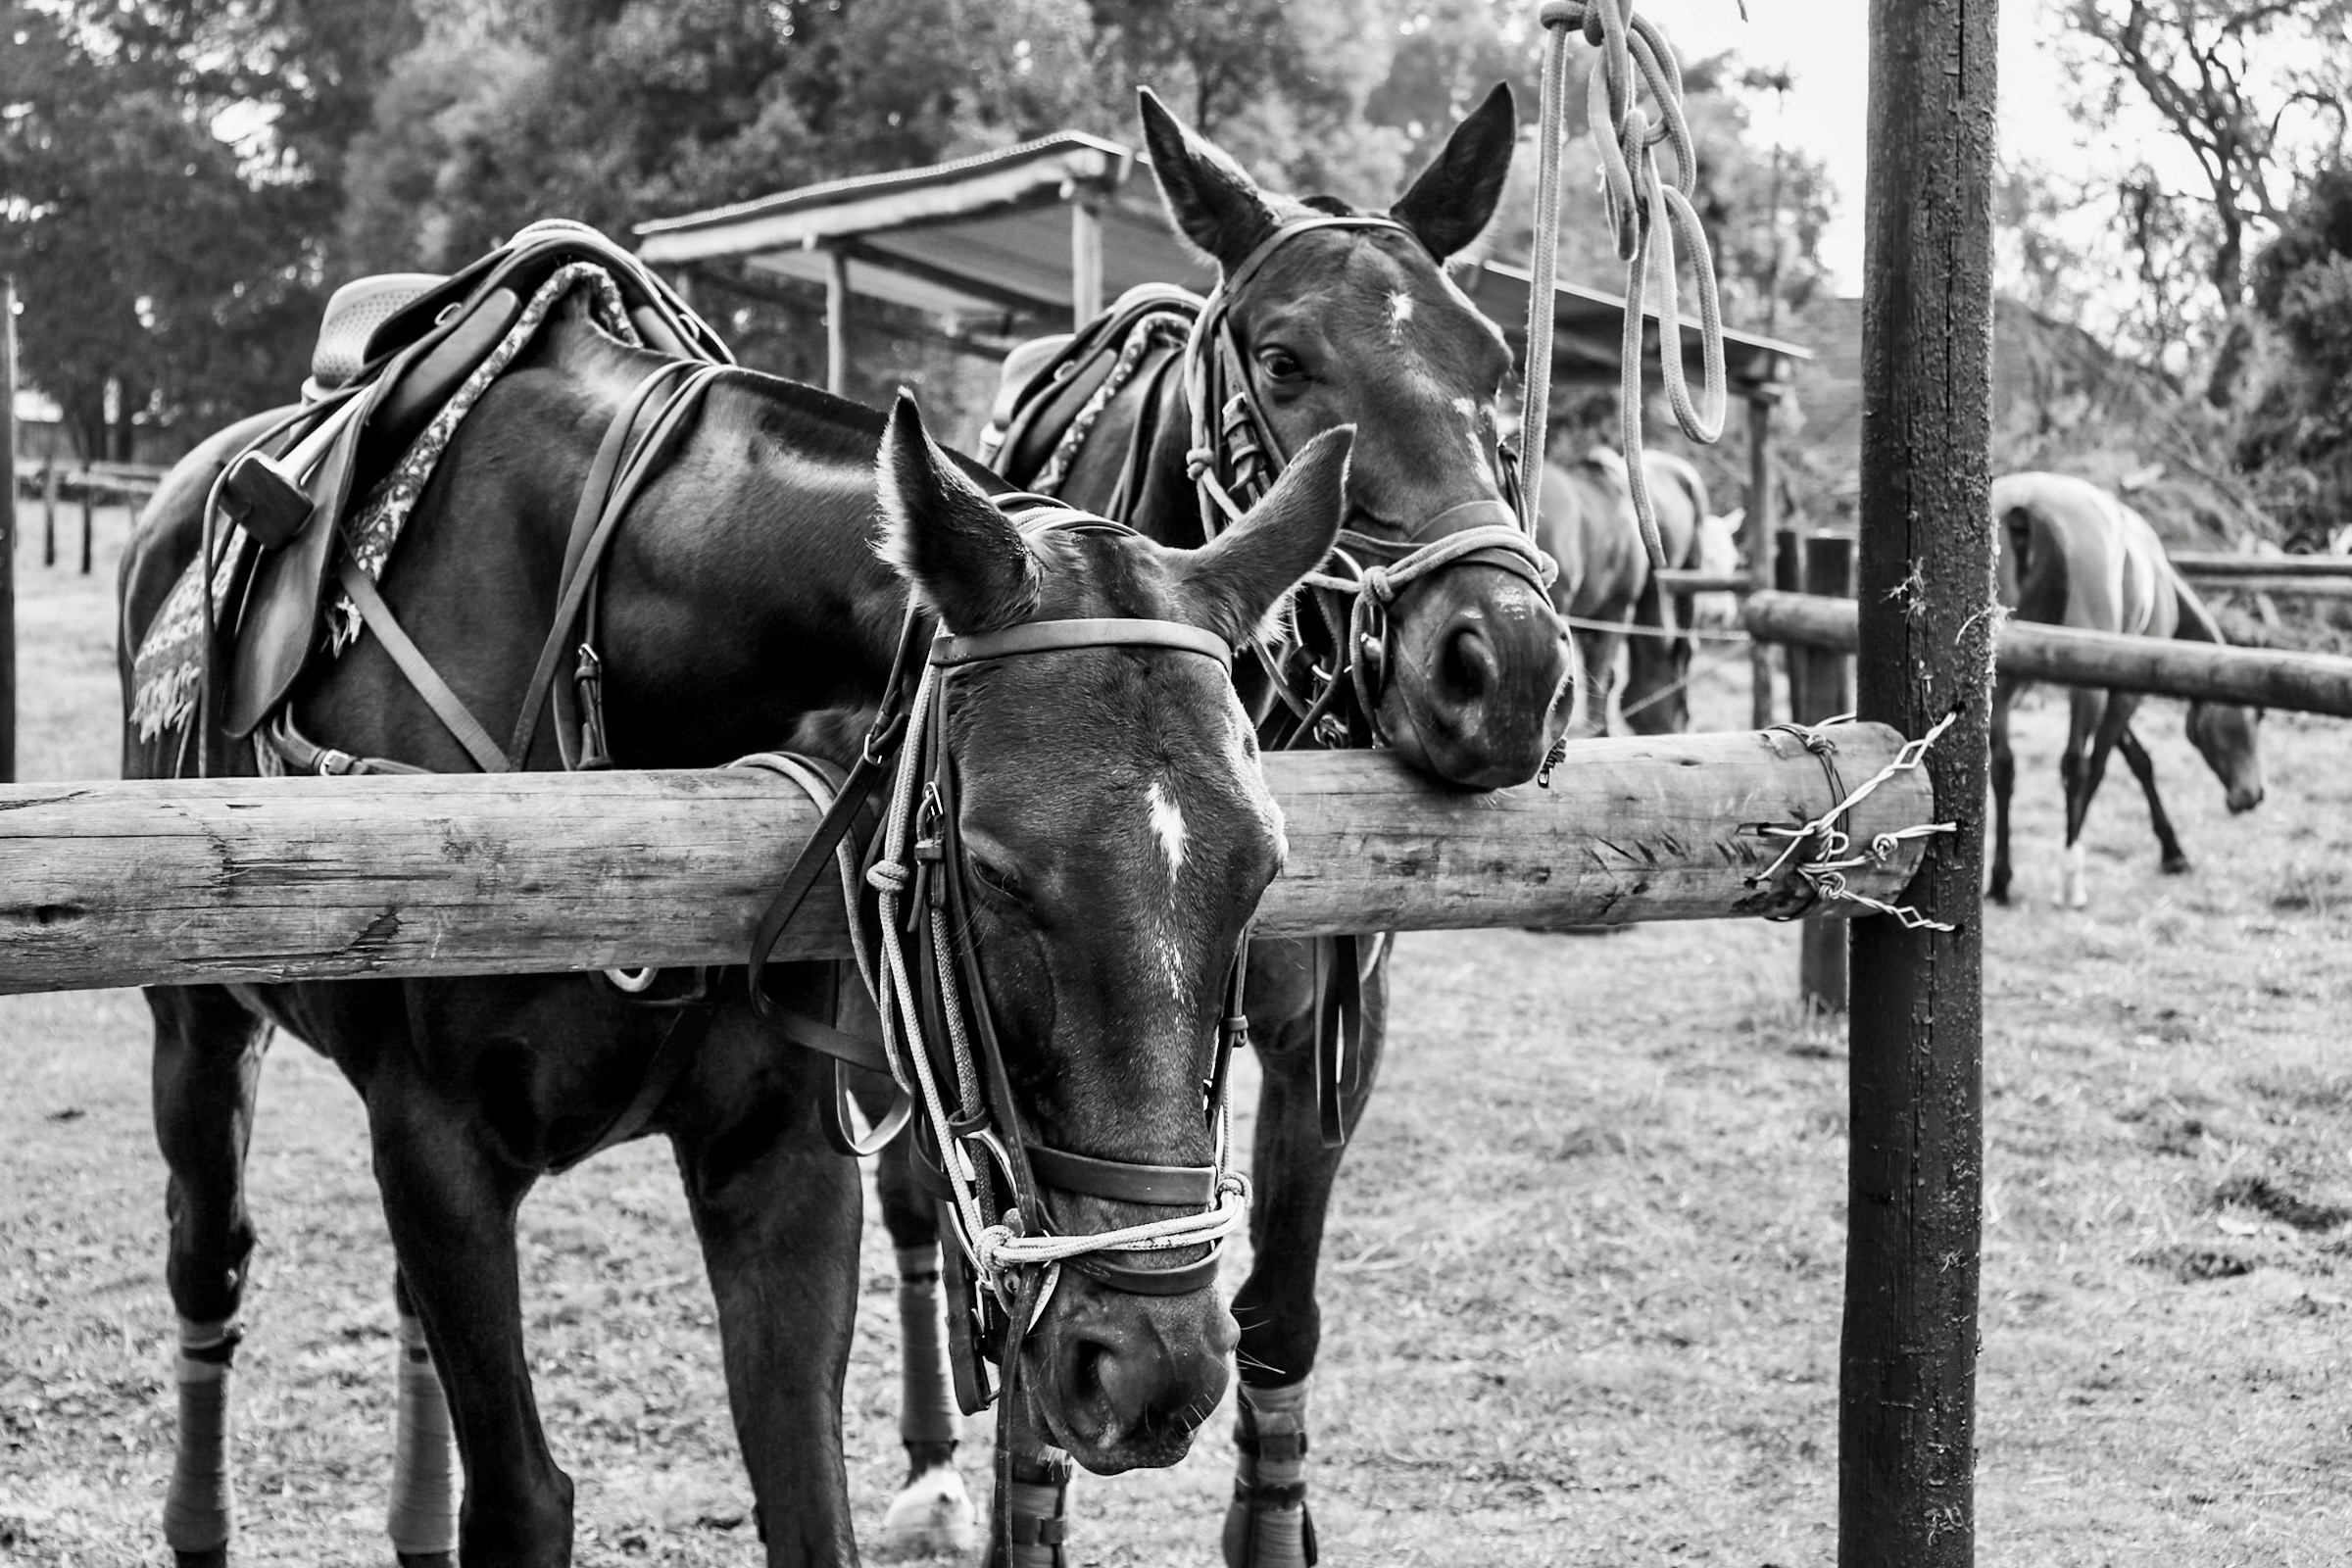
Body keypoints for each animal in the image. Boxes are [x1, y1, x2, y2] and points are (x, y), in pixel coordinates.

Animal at [116, 270, 1357, 1568]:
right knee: (206, 1263)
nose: (1153, 1366)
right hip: (197, 1028)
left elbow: (806, 1489)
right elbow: (521, 1500)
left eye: (1265, 870)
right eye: (993, 870)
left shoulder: (777, 1156)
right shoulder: (434, 1143)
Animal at [865, 84, 1577, 1567]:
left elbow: (1278, 1322)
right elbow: (1029, 1361)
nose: (1508, 668)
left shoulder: (1326, 1030)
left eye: (1496, 366)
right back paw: (929, 1459)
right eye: (1285, 359)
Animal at [1987, 471, 2265, 908]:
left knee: (2002, 766)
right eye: (2250, 720)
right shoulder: (2121, 689)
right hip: (2080, 689)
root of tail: (2026, 508)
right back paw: (2070, 877)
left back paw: (2000, 879)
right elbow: (2105, 764)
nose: (2252, 795)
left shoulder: (2116, 676)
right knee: (2075, 766)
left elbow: (2138, 760)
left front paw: (2172, 850)